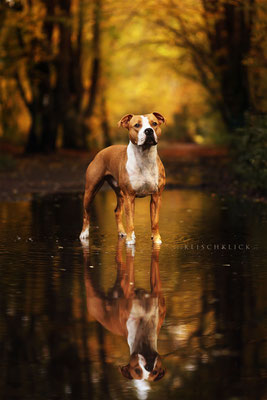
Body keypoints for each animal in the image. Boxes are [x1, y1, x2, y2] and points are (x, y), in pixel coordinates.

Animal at [79, 111, 165, 245]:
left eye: (154, 123)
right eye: (137, 125)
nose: (149, 131)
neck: (144, 157)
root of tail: (102, 151)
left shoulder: (156, 196)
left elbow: (154, 221)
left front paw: (156, 239)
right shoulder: (129, 196)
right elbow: (130, 220)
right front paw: (130, 240)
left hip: (120, 194)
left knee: (117, 211)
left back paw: (121, 232)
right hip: (91, 190)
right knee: (86, 213)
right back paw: (84, 233)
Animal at [84, 239, 168, 382]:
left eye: (155, 372)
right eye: (137, 370)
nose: (149, 367)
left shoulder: (156, 291)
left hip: (120, 275)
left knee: (118, 260)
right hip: (92, 290)